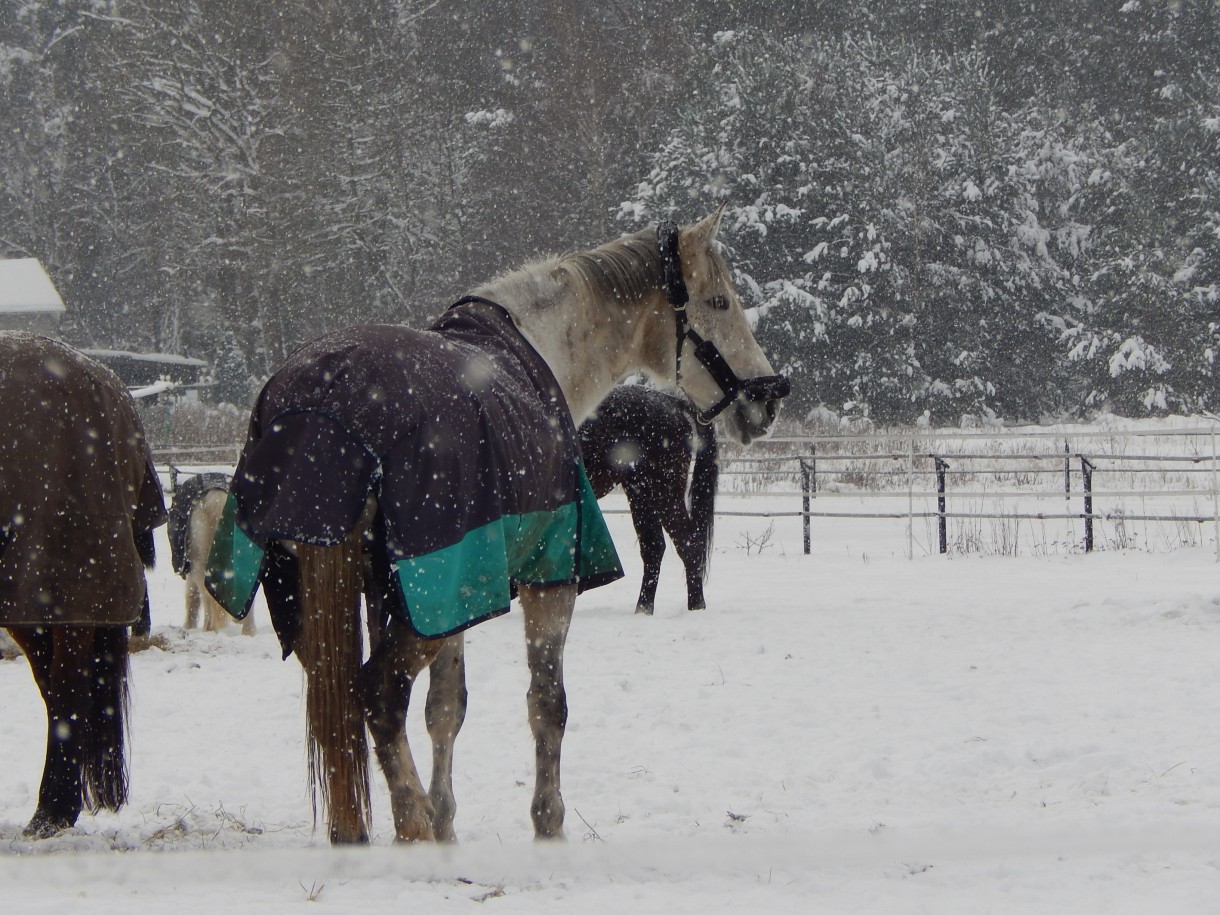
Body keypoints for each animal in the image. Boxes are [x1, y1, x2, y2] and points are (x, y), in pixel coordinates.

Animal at [578, 387, 712, 617]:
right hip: (640, 494)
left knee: (688, 544)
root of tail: (672, 402)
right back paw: (643, 609)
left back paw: (695, 607)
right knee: (654, 547)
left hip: (663, 494)